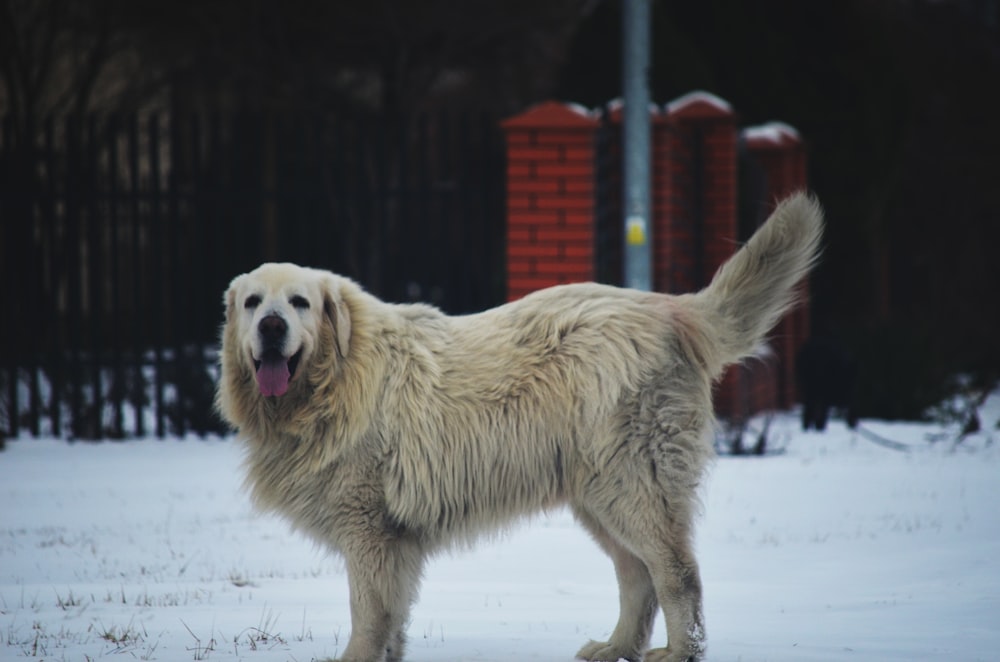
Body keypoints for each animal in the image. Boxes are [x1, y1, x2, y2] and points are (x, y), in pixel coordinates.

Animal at [217, 192, 820, 662]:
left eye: (299, 302)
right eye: (253, 303)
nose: (271, 326)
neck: (337, 376)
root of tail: (670, 310)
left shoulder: (369, 528)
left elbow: (368, 612)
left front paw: (357, 658)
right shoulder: (393, 538)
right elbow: (392, 617)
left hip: (634, 486)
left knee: (676, 573)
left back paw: (678, 652)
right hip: (600, 494)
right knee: (637, 577)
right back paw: (616, 647)